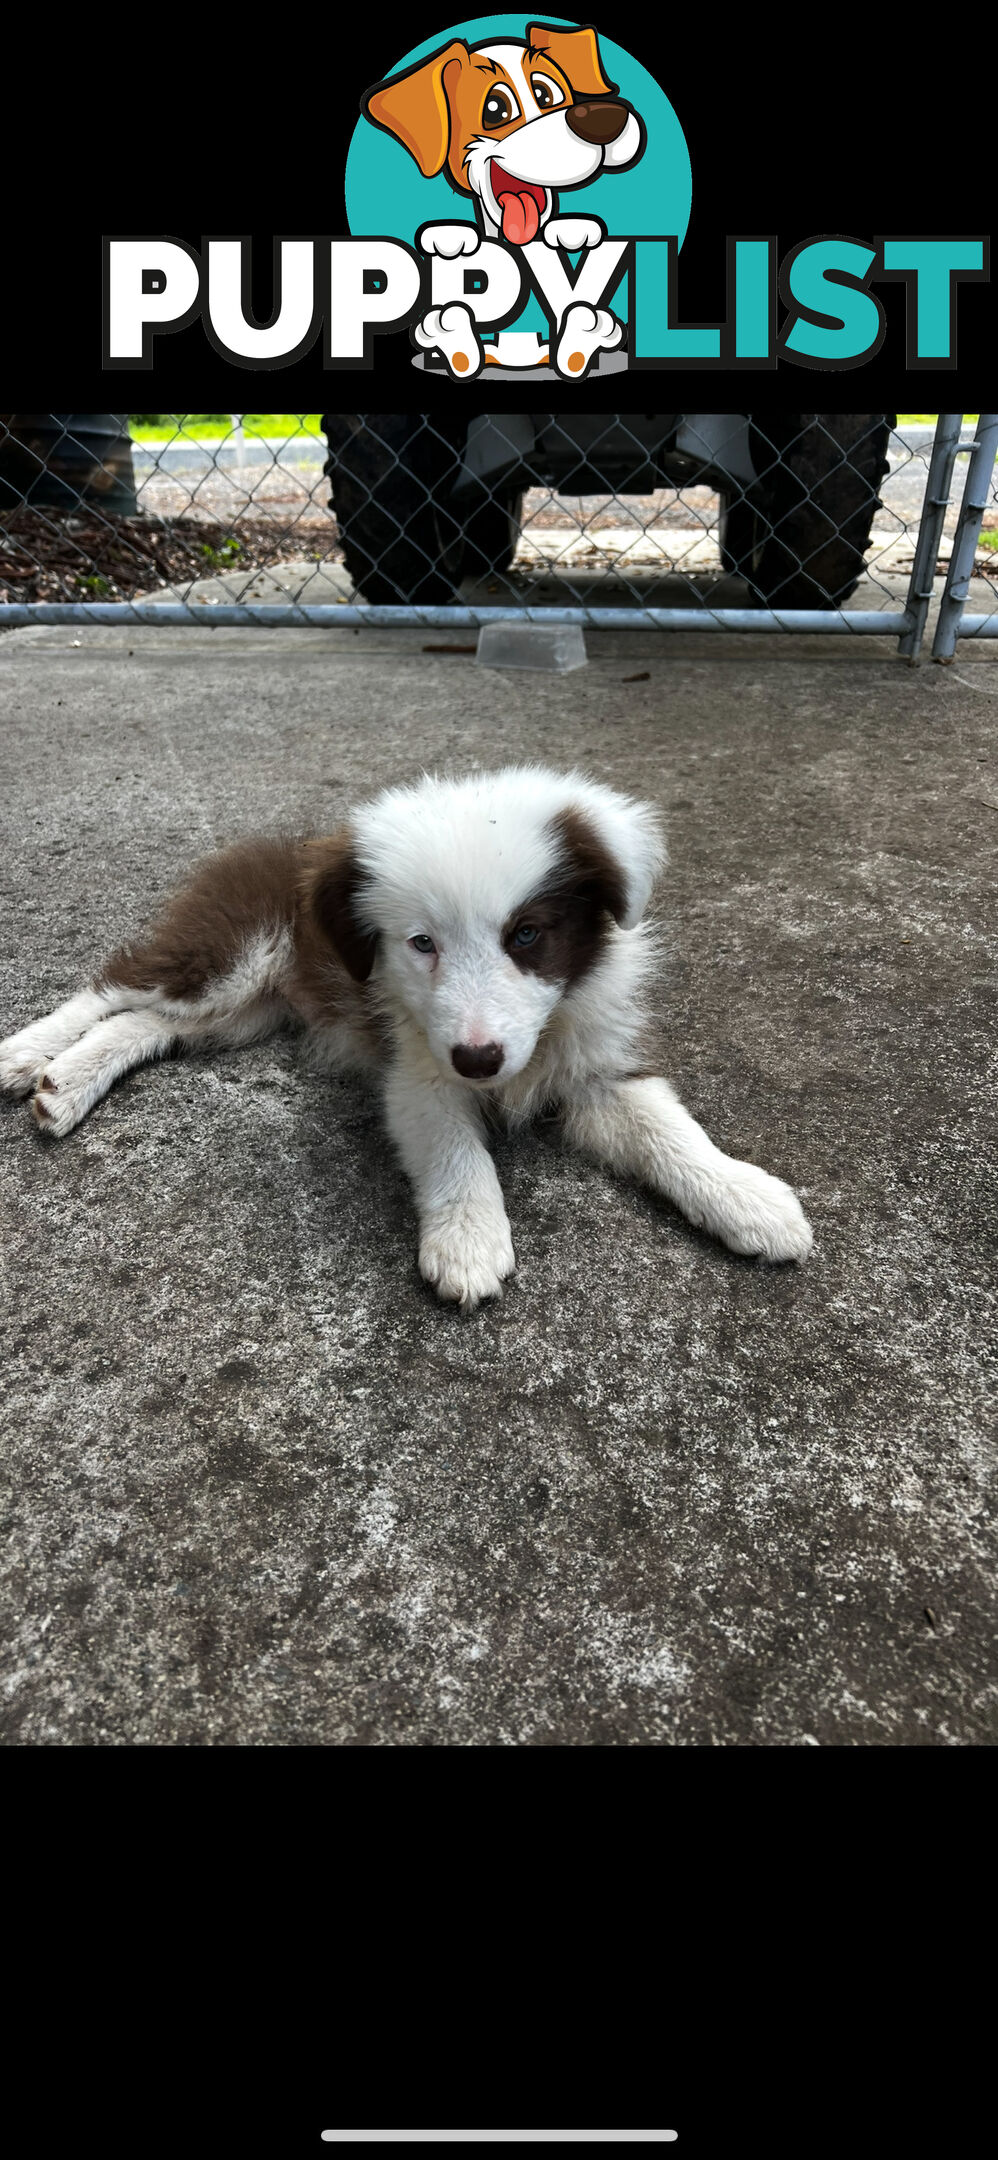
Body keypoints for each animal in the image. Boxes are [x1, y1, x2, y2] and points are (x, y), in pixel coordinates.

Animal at [0, 768, 812, 1304]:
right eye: (422, 943)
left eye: (526, 934)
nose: (480, 1059)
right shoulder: (416, 1069)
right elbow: (455, 1150)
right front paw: (469, 1240)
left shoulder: (597, 1066)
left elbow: (668, 1129)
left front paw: (747, 1198)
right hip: (228, 954)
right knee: (113, 988)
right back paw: (23, 1055)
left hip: (249, 1010)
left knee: (145, 1023)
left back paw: (65, 1085)